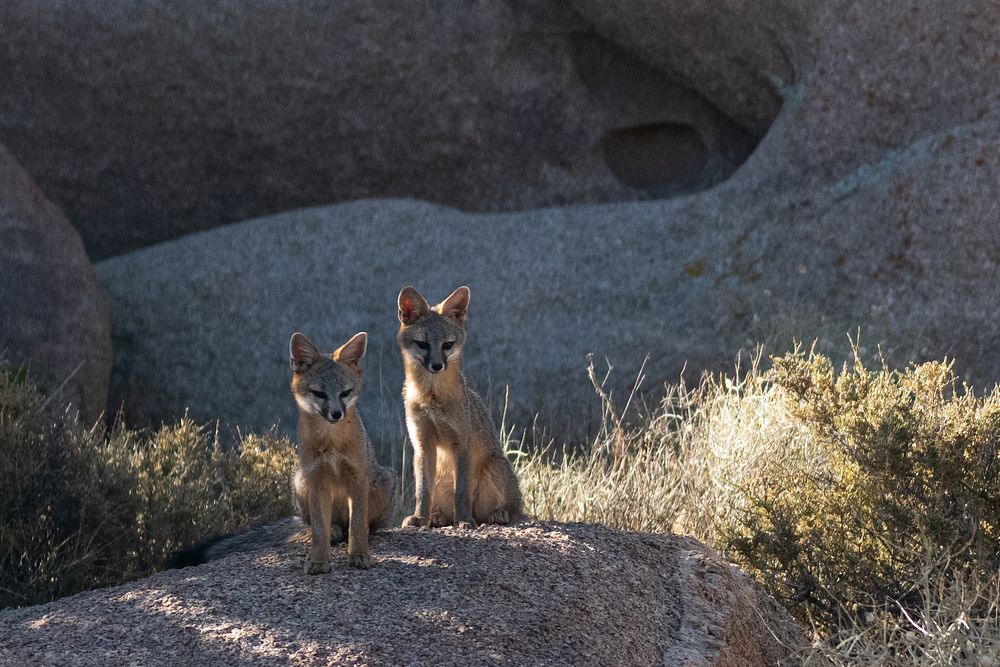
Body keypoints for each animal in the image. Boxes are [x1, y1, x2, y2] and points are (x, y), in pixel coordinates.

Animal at [288, 332, 396, 572]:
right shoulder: (316, 478)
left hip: (383, 482)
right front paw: (319, 561)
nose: (337, 414)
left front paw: (359, 555)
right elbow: (319, 529)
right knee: (322, 525)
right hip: (300, 481)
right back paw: (333, 531)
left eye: (345, 393)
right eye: (319, 393)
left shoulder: (357, 477)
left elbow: (357, 525)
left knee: (364, 526)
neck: (332, 442)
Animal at [396, 284, 524, 528]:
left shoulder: (462, 442)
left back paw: (495, 514)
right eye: (423, 344)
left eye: (447, 345)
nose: (437, 366)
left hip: (495, 468)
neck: (432, 399)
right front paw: (420, 517)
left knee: (504, 512)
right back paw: (437, 517)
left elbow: (462, 491)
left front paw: (463, 520)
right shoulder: (422, 443)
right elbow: (422, 491)